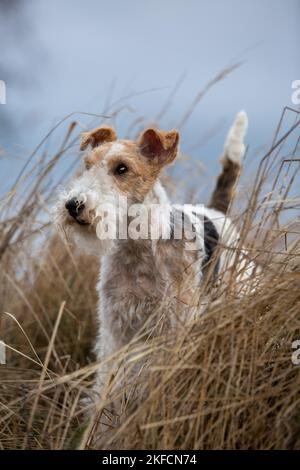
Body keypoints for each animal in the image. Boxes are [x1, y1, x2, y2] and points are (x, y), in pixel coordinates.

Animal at [53, 111, 251, 408]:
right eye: (87, 165)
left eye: (122, 169)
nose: (73, 205)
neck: (137, 251)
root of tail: (216, 211)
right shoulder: (115, 327)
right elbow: (108, 378)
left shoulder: (174, 326)